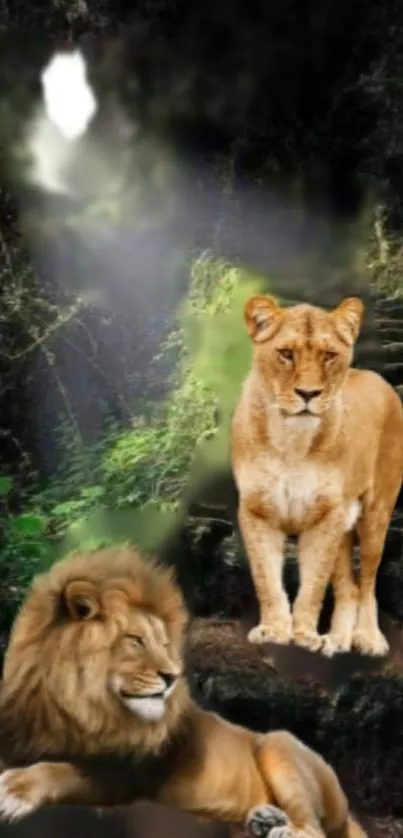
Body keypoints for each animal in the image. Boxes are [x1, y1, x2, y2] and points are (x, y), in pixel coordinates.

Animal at [0, 548, 366, 838]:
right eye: (135, 641)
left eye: (164, 645)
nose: (172, 676)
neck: (79, 705)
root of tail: (348, 810)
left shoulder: (129, 775)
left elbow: (62, 771)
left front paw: (14, 788)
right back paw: (265, 819)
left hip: (279, 743)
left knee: (314, 830)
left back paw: (281, 828)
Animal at [232, 298, 403, 660]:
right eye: (286, 354)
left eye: (329, 355)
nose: (308, 393)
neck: (291, 441)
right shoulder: (257, 511)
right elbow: (266, 579)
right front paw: (274, 631)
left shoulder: (324, 517)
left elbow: (312, 585)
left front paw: (303, 636)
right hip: (343, 526)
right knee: (348, 588)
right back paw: (336, 640)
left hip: (375, 514)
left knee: (367, 581)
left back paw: (368, 638)